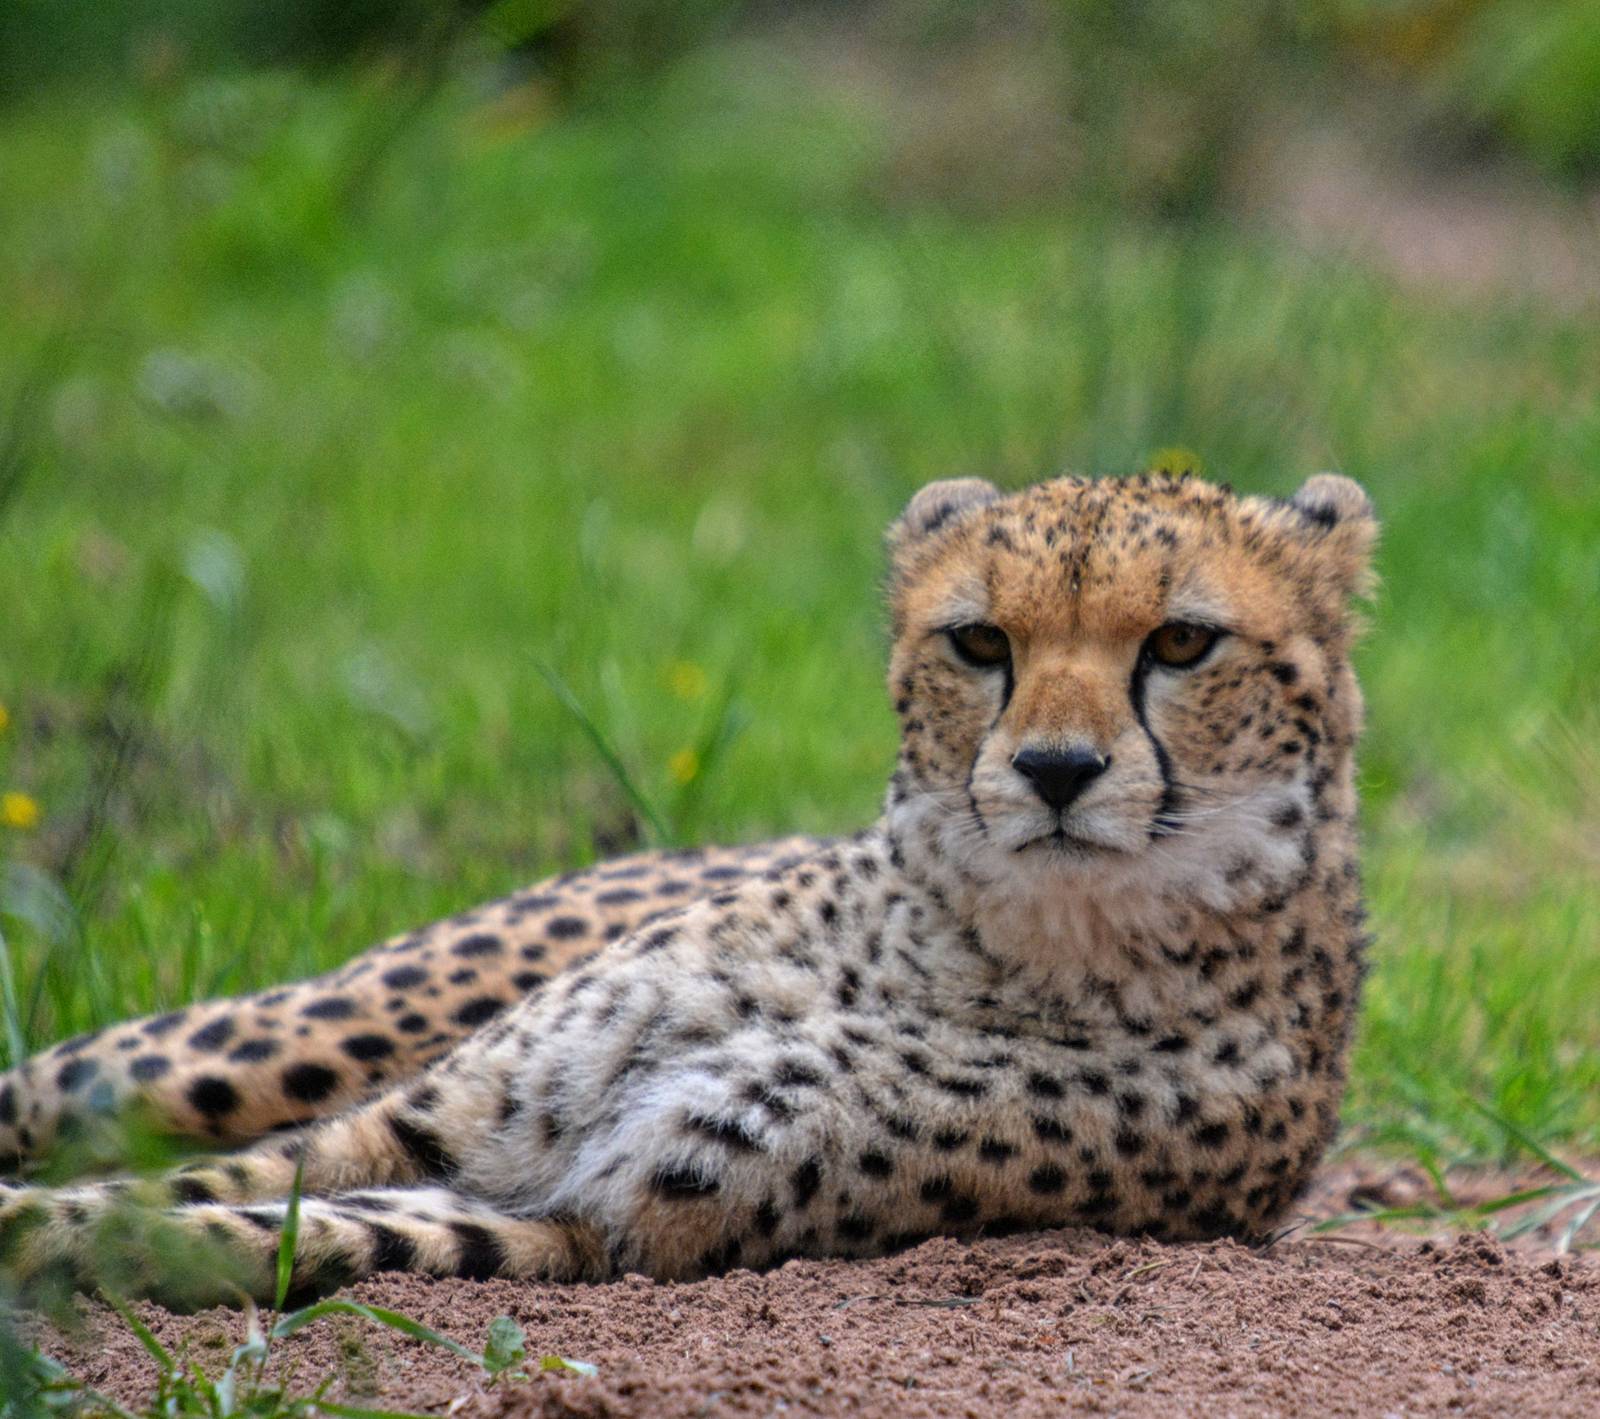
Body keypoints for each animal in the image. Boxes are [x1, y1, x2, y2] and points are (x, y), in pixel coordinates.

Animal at [0, 469, 1377, 1309]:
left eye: (1181, 642)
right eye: (980, 642)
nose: (1053, 771)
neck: (968, 943)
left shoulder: (597, 1223)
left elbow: (227, 1227)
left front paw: (46, 1238)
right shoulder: (422, 1126)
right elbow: (183, 1190)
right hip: (275, 1044)